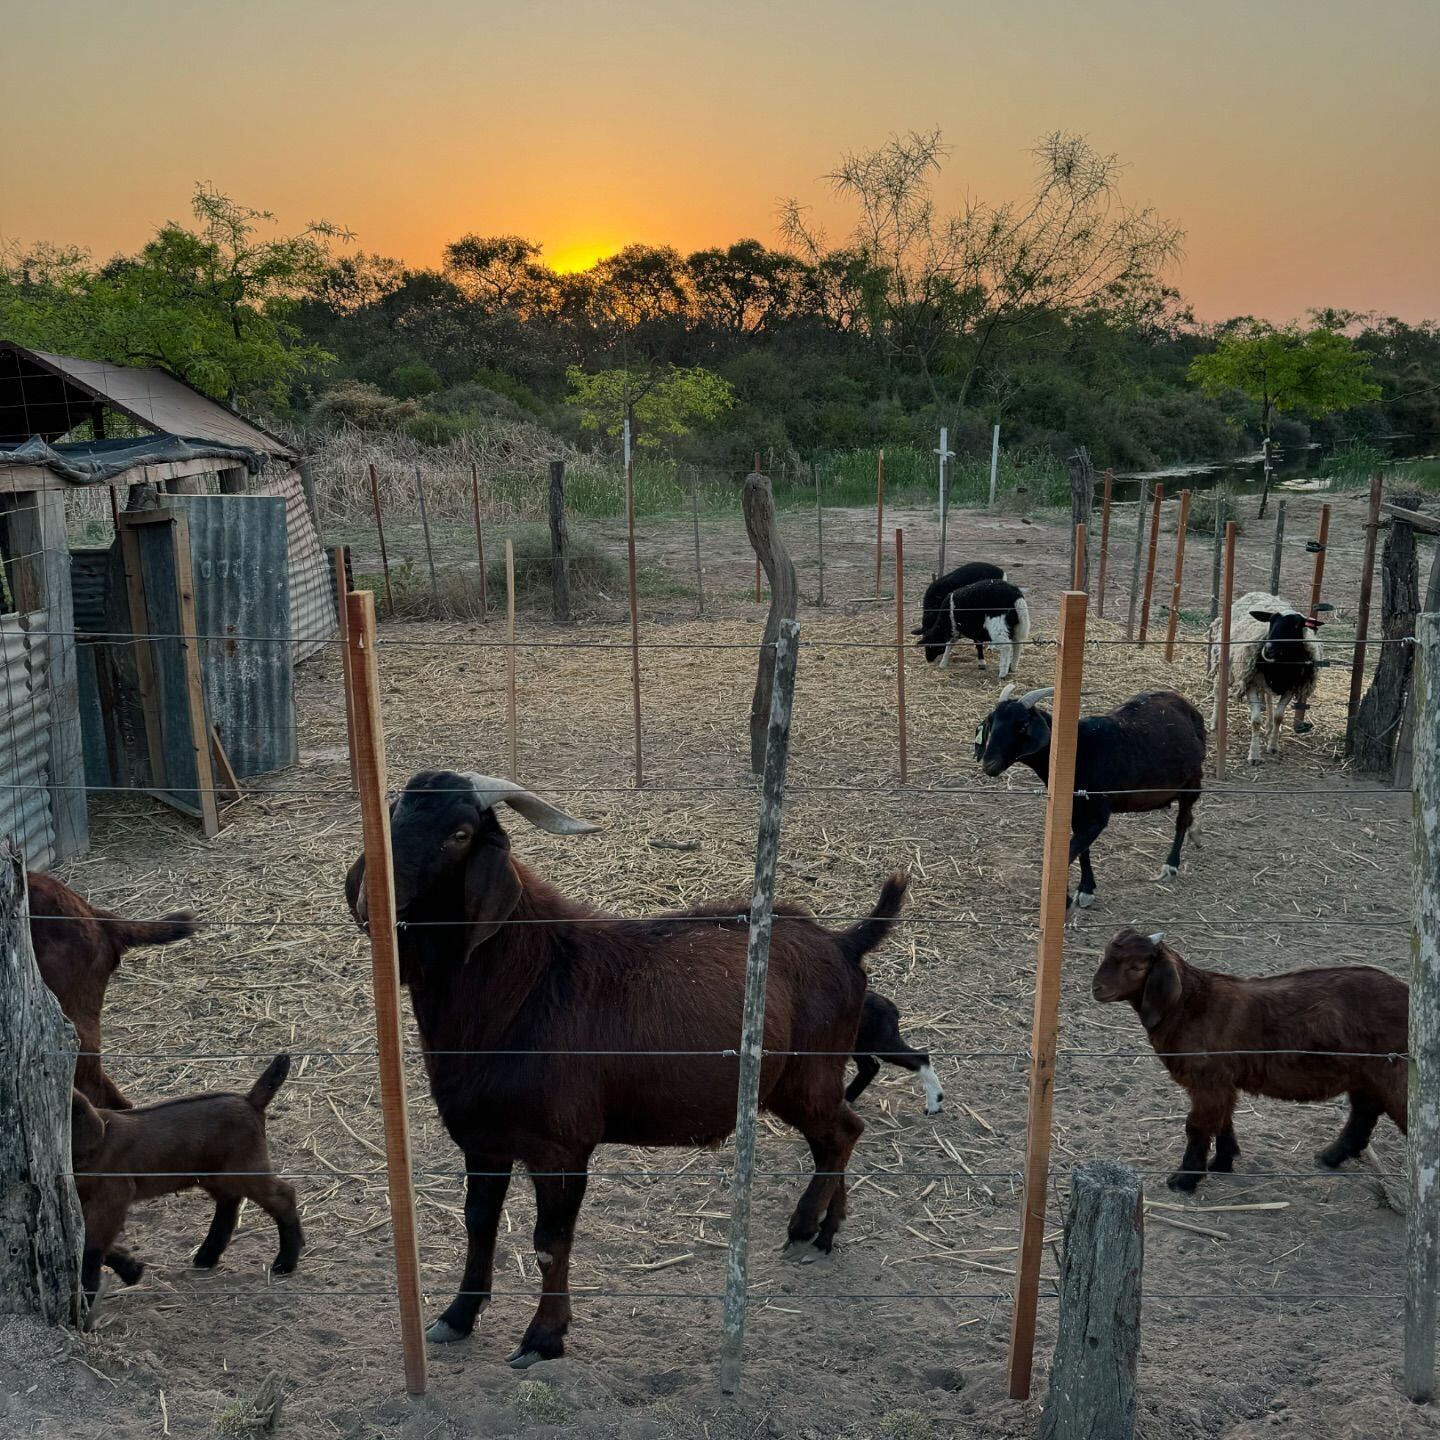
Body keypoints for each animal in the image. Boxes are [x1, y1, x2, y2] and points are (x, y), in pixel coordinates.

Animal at [71, 1054, 302, 1313]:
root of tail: (250, 1101)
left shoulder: (113, 1196)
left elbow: (91, 1247)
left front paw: (87, 1296)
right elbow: (90, 1240)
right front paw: (132, 1269)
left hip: (248, 1167)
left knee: (283, 1196)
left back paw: (285, 1262)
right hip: (215, 1173)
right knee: (229, 1202)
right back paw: (207, 1255)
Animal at [979, 685, 1203, 910]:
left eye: (1023, 725)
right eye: (992, 721)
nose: (990, 765)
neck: (1079, 751)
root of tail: (1184, 703)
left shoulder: (1096, 817)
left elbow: (1071, 851)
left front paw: (1066, 899)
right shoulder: (1076, 813)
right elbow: (1082, 851)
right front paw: (1086, 889)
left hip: (1192, 781)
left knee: (1182, 818)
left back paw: (1171, 865)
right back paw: (1195, 832)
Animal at [1088, 933, 1405, 1192]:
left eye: (1136, 967)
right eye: (1106, 955)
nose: (1097, 989)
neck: (1190, 1005)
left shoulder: (1207, 1079)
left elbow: (1197, 1126)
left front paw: (1185, 1180)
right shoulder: (1222, 1081)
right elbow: (1223, 1120)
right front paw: (1222, 1163)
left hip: (1393, 1072)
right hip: (1364, 1073)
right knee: (1364, 1112)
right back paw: (1331, 1156)